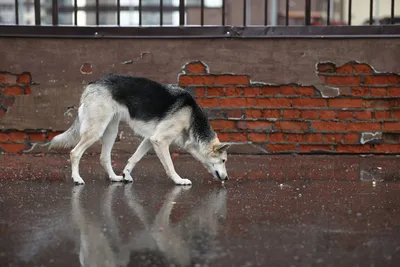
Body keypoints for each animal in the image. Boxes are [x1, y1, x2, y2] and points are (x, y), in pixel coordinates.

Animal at [45, 74, 230, 185]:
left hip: (111, 132)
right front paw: (178, 180)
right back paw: (77, 178)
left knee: (104, 157)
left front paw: (126, 174)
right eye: (223, 161)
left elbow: (134, 158)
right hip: (96, 131)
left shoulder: (150, 139)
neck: (192, 118)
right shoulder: (159, 141)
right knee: (75, 152)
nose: (227, 178)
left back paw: (114, 177)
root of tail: (92, 85)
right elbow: (170, 165)